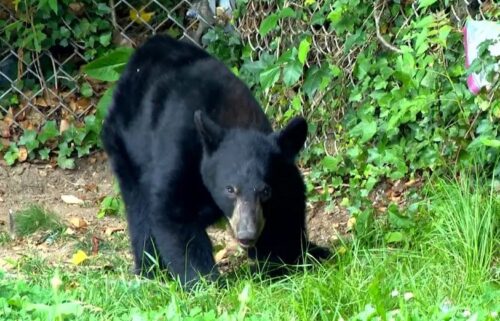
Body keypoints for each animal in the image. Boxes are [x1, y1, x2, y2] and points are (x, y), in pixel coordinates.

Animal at [100, 34, 328, 284]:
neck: (234, 118)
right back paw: (150, 270)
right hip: (124, 146)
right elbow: (173, 213)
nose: (247, 235)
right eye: (230, 189)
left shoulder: (283, 177)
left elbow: (287, 213)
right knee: (138, 209)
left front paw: (289, 260)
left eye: (265, 191)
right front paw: (204, 281)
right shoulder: (179, 151)